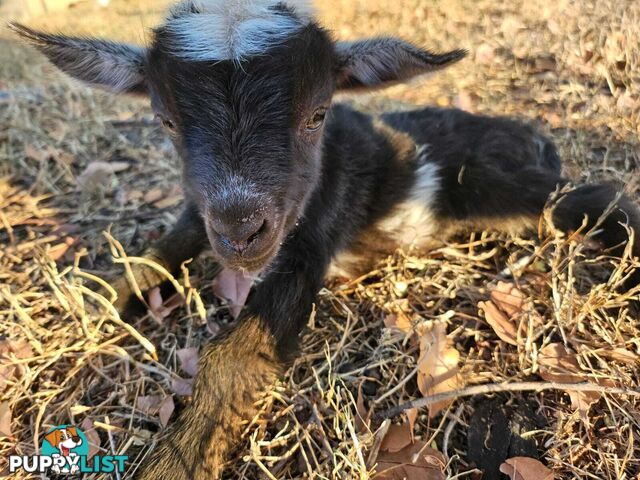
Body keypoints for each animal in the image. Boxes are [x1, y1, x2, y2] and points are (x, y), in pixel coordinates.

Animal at [11, 0, 640, 476]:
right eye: (166, 122)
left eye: (316, 114)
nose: (242, 232)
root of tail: (530, 134)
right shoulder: (199, 215)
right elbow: (149, 262)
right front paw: (90, 306)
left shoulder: (309, 244)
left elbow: (234, 356)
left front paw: (176, 462)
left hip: (497, 187)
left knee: (588, 198)